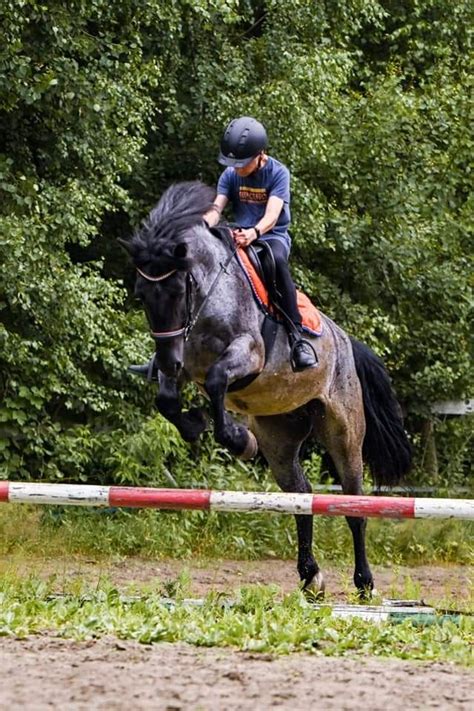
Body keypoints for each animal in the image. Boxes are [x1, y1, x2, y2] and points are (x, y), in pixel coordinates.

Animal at [118, 179, 412, 596]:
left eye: (178, 289)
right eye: (142, 294)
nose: (170, 361)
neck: (208, 297)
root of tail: (345, 340)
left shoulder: (248, 354)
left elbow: (217, 379)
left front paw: (238, 440)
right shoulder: (179, 362)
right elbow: (167, 400)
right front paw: (197, 424)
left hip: (344, 432)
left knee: (354, 504)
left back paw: (364, 583)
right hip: (280, 433)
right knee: (301, 495)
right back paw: (310, 576)